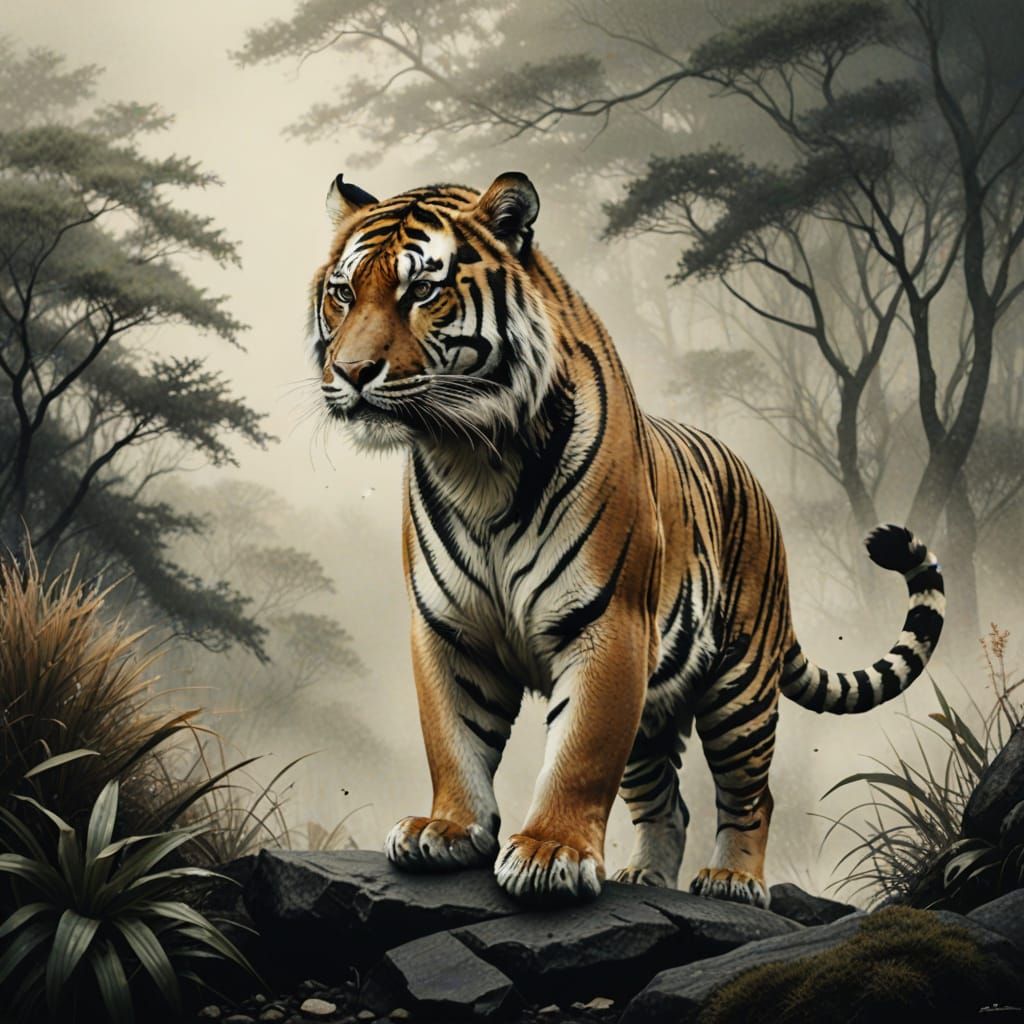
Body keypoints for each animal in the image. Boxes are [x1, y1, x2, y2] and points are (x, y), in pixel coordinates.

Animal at [309, 171, 945, 907]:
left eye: (422, 291)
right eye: (343, 293)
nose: (351, 372)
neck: (472, 458)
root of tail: (758, 486)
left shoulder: (609, 626)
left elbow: (580, 753)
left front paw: (548, 852)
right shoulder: (449, 629)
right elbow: (453, 737)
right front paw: (446, 829)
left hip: (740, 687)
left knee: (751, 795)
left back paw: (732, 879)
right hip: (656, 707)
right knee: (669, 802)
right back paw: (643, 875)